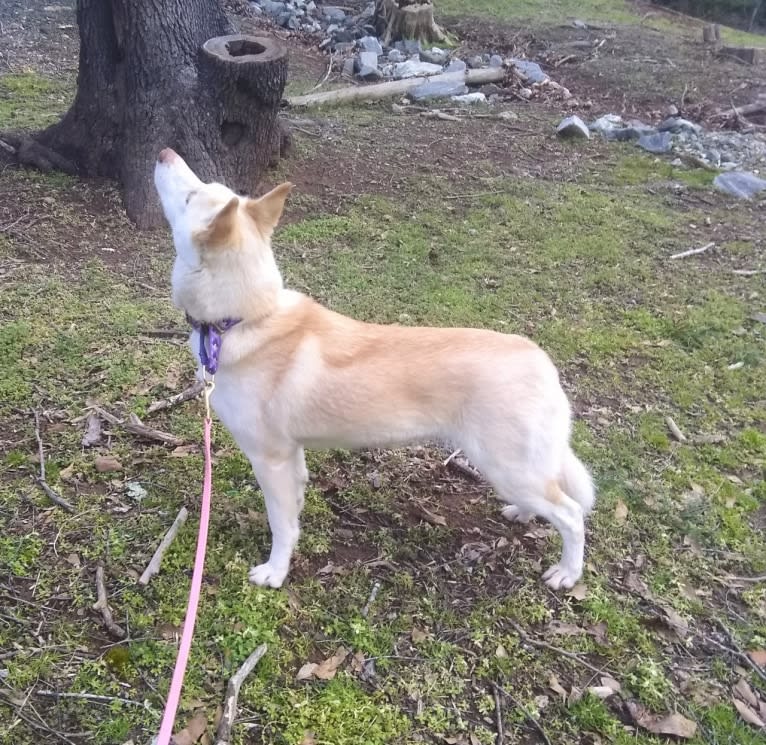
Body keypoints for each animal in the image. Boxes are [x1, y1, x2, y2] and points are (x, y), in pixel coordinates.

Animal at [153, 148, 596, 592]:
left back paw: (567, 573)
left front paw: (275, 571)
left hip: (505, 467)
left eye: (191, 197)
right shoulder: (292, 457)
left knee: (572, 515)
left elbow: (281, 523)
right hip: (518, 470)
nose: (165, 153)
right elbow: (293, 514)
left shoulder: (270, 458)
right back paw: (523, 513)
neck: (244, 318)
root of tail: (540, 360)